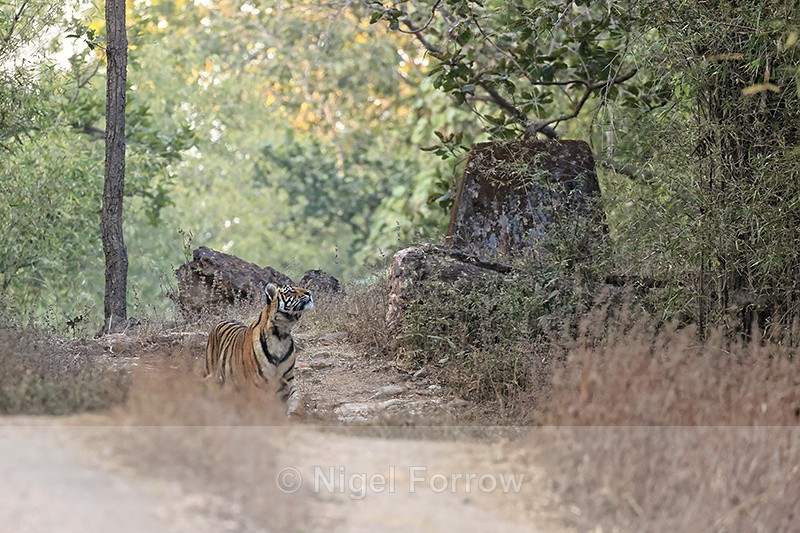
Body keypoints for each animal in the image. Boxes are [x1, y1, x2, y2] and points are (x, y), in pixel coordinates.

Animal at [204, 282, 314, 417]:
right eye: (290, 291)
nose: (309, 292)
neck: (281, 335)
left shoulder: (288, 379)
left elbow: (297, 402)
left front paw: (294, 415)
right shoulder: (257, 385)